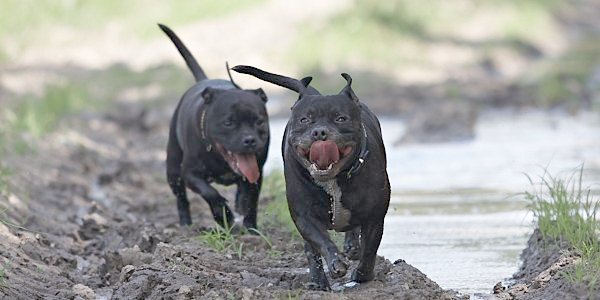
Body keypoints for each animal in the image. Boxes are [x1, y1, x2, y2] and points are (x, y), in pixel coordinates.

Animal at [161, 24, 270, 230]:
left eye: (259, 121)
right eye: (228, 123)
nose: (250, 140)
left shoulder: (257, 172)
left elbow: (251, 199)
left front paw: (251, 228)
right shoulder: (190, 174)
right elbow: (210, 193)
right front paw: (224, 216)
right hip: (173, 170)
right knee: (181, 197)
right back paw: (185, 224)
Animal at [232, 65, 392, 288]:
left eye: (340, 118)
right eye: (304, 119)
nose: (319, 132)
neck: (333, 182)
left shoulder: (375, 216)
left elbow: (370, 249)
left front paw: (362, 275)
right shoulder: (304, 215)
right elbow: (320, 241)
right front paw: (335, 263)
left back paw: (351, 249)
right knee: (311, 249)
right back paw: (318, 281)